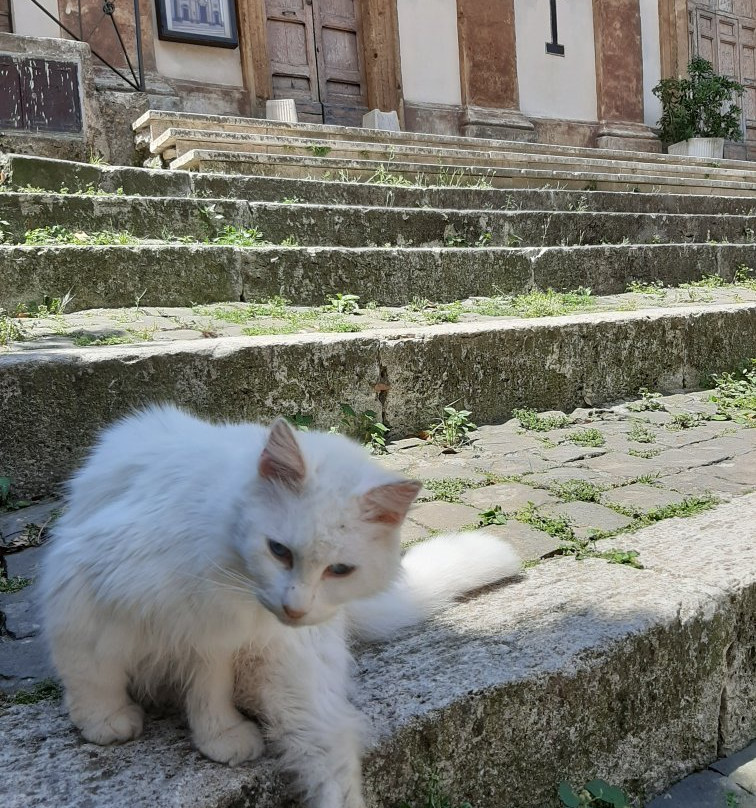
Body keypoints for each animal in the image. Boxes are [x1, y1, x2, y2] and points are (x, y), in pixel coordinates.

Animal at [39, 410, 520, 808]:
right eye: (279, 551)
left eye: (339, 570)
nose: (295, 608)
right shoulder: (82, 590)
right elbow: (92, 671)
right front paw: (103, 719)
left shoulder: (214, 642)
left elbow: (208, 690)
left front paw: (219, 735)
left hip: (294, 679)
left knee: (333, 755)